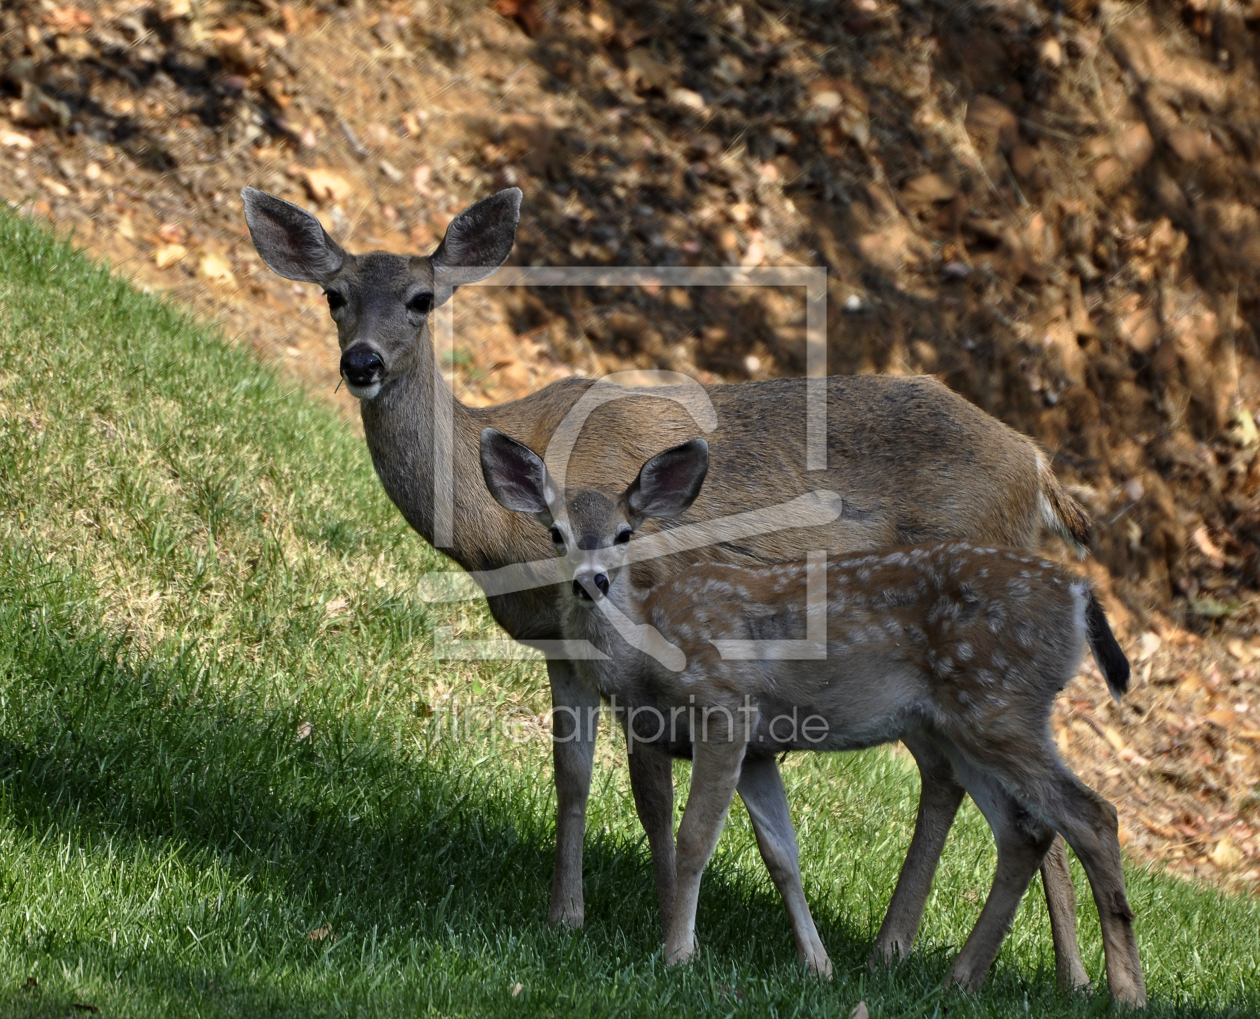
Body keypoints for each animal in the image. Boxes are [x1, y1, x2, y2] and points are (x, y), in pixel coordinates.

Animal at [243, 182, 1093, 987]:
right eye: (334, 294)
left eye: (421, 299)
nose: (361, 364)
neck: (498, 526)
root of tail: (1036, 464)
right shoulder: (563, 648)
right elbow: (573, 778)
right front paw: (567, 914)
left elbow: (653, 799)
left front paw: (667, 926)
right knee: (956, 778)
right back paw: (907, 949)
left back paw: (1063, 974)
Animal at [476, 428, 1149, 1002]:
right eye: (557, 534)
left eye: (623, 534)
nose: (590, 583)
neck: (652, 646)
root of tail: (1081, 596)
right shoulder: (758, 751)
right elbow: (782, 854)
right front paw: (818, 966)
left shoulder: (726, 708)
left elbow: (696, 838)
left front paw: (678, 956)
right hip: (967, 725)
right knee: (1024, 830)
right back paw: (960, 979)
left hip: (1000, 707)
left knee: (1093, 815)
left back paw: (1125, 992)